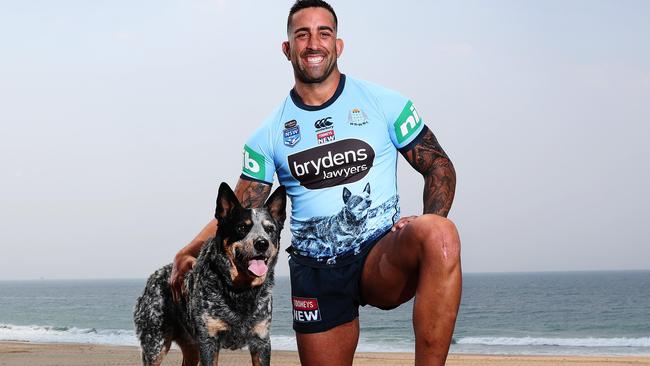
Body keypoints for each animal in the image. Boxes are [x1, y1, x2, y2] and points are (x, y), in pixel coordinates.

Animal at [134, 182, 286, 366]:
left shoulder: (261, 340)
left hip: (192, 348)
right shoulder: (209, 341)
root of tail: (152, 278)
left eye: (270, 229)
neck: (240, 291)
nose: (262, 243)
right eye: (242, 227)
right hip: (155, 345)